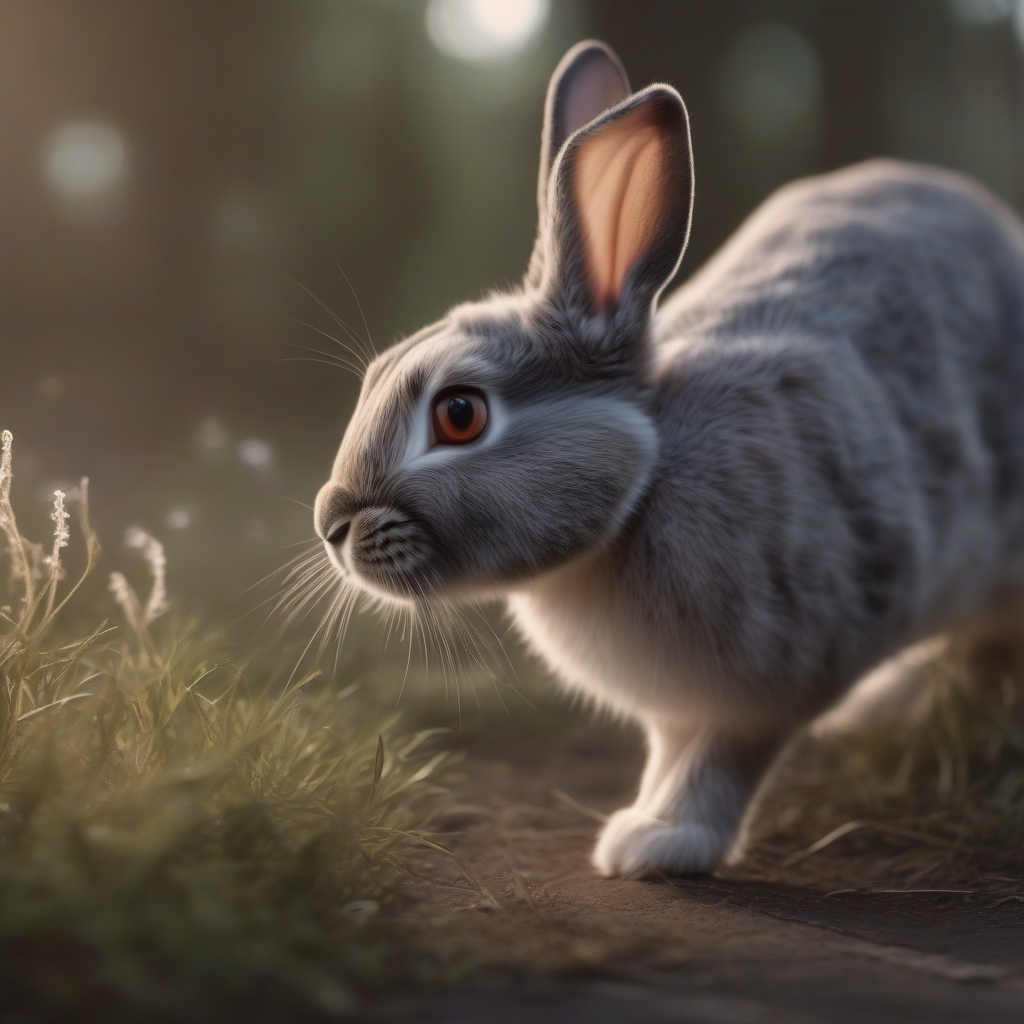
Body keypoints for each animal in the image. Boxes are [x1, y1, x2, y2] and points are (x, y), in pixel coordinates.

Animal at [314, 39, 1024, 877]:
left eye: (460, 415)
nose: (330, 524)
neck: (640, 488)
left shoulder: (773, 677)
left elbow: (722, 761)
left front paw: (657, 843)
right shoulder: (674, 708)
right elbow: (669, 752)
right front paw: (640, 816)